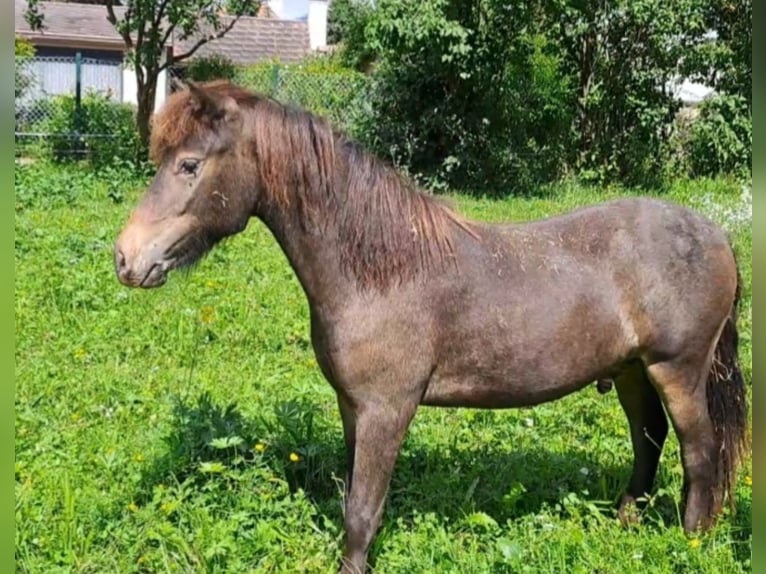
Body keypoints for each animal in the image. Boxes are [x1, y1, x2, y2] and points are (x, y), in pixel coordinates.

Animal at [113, 80, 749, 574]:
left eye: (189, 165)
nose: (126, 258)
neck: (378, 269)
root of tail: (716, 233)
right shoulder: (354, 407)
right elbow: (354, 495)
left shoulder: (387, 408)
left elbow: (362, 510)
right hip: (632, 371)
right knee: (649, 441)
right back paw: (625, 523)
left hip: (677, 370)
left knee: (699, 453)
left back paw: (690, 542)